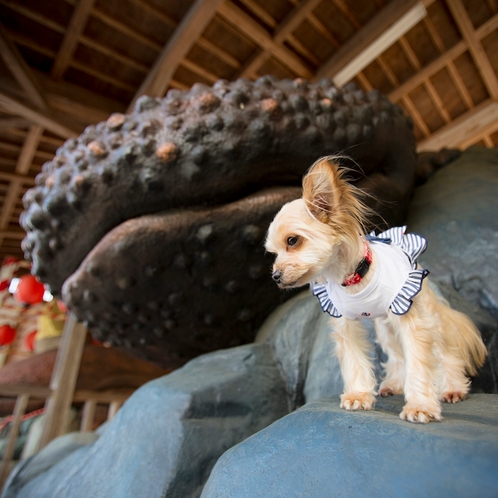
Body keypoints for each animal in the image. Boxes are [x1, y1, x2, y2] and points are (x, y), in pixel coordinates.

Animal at [266, 158, 488, 422]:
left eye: (292, 241)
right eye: (273, 253)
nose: (275, 276)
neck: (352, 278)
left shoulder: (414, 325)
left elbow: (419, 363)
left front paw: (420, 407)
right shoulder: (345, 325)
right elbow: (355, 360)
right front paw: (359, 395)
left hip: (423, 316)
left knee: (445, 353)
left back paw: (453, 388)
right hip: (386, 328)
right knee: (396, 354)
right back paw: (394, 384)